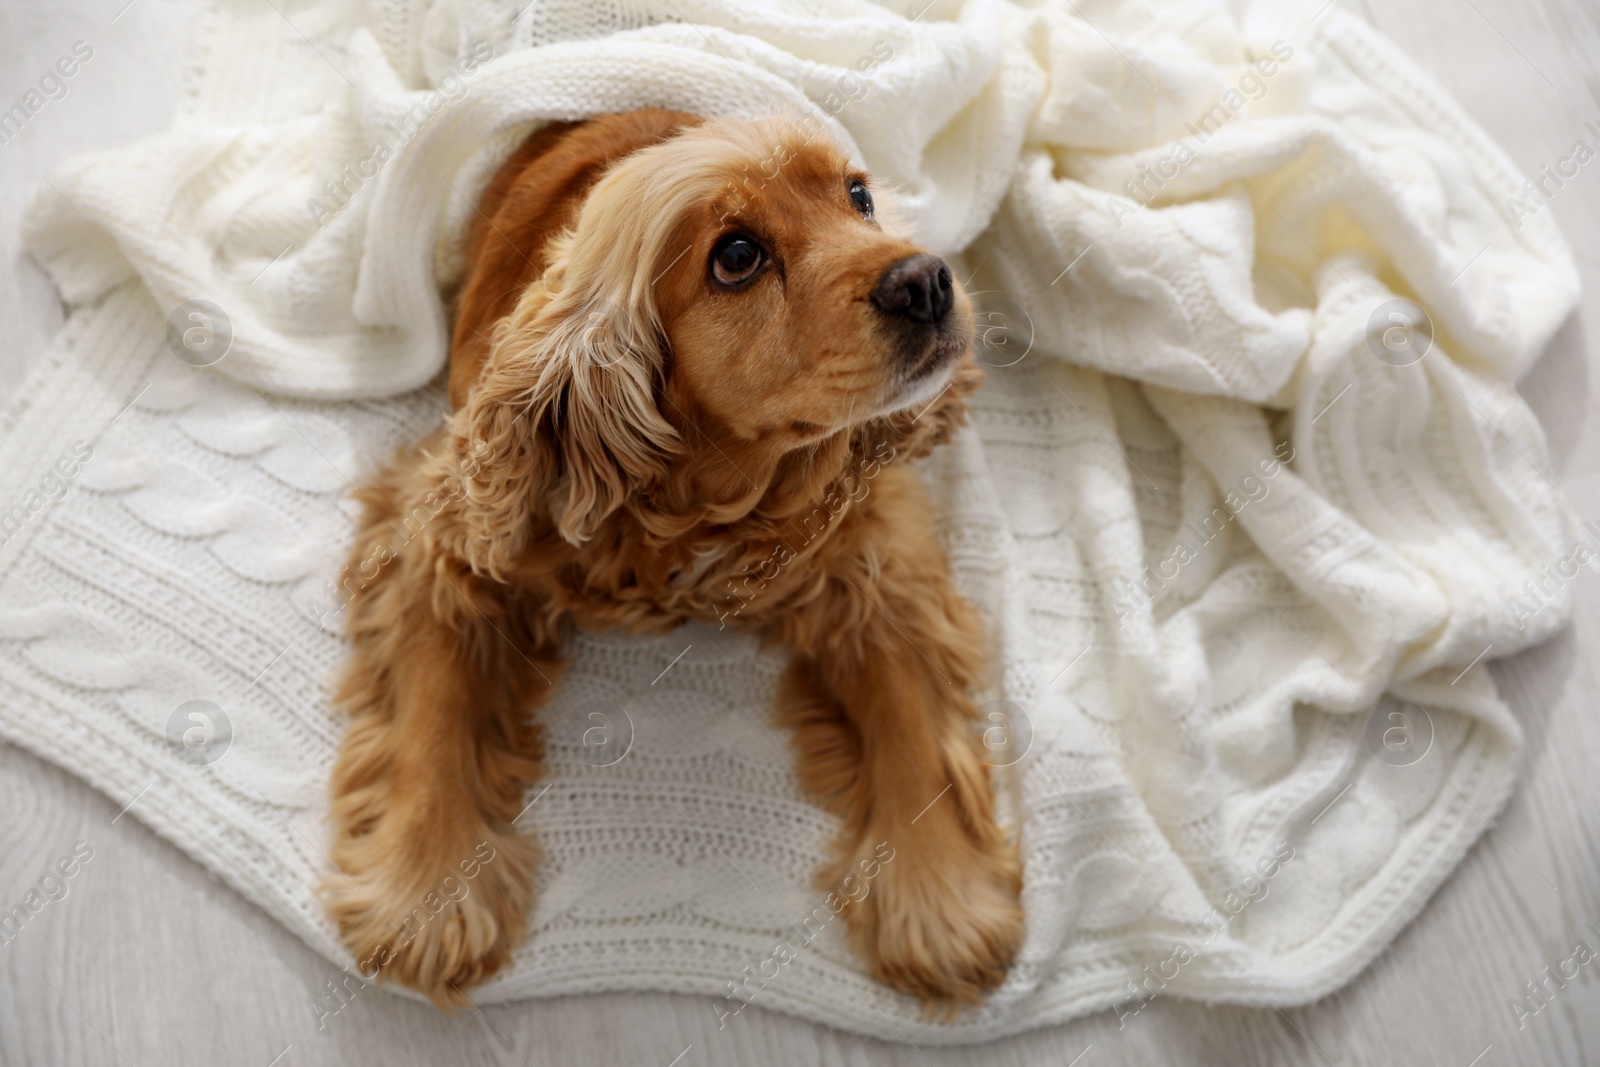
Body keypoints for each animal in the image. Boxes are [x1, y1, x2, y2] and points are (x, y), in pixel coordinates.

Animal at [324, 110, 1024, 1017]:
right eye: (737, 256)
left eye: (860, 196)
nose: (929, 280)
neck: (702, 492)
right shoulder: (442, 532)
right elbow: (435, 702)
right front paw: (427, 884)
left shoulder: (875, 544)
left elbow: (909, 709)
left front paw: (940, 893)